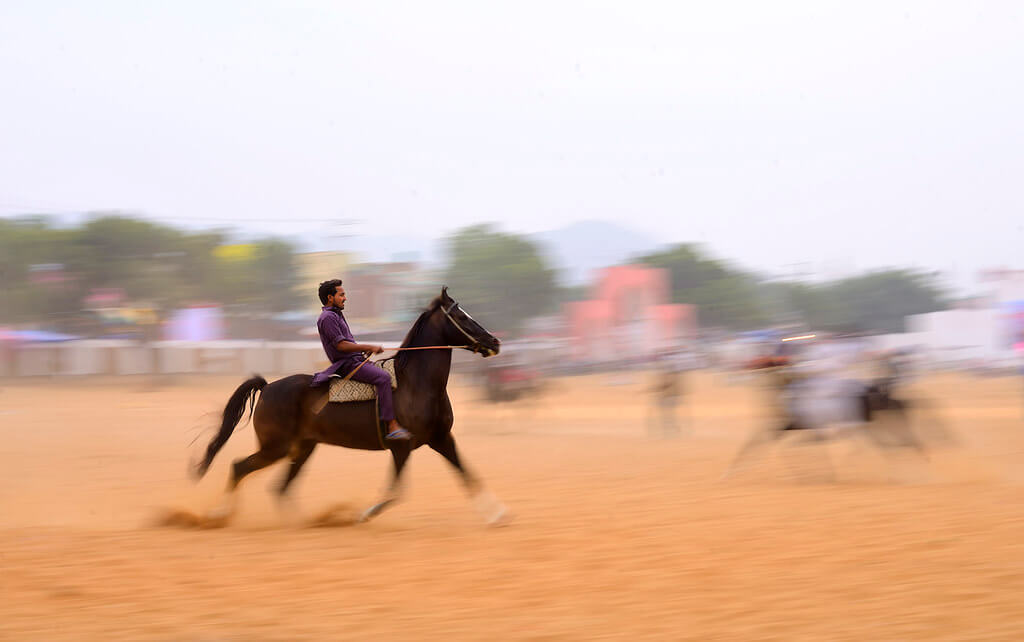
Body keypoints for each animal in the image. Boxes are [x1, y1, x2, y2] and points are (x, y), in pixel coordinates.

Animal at [192, 288, 507, 524]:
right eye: (461, 317)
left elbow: (467, 473)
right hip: (276, 447)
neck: (416, 384)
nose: (494, 342)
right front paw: (364, 514)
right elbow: (394, 491)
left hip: (302, 448)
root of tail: (268, 387)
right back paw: (220, 515)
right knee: (239, 468)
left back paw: (301, 522)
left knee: (280, 487)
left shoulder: (441, 438)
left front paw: (497, 514)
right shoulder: (401, 447)